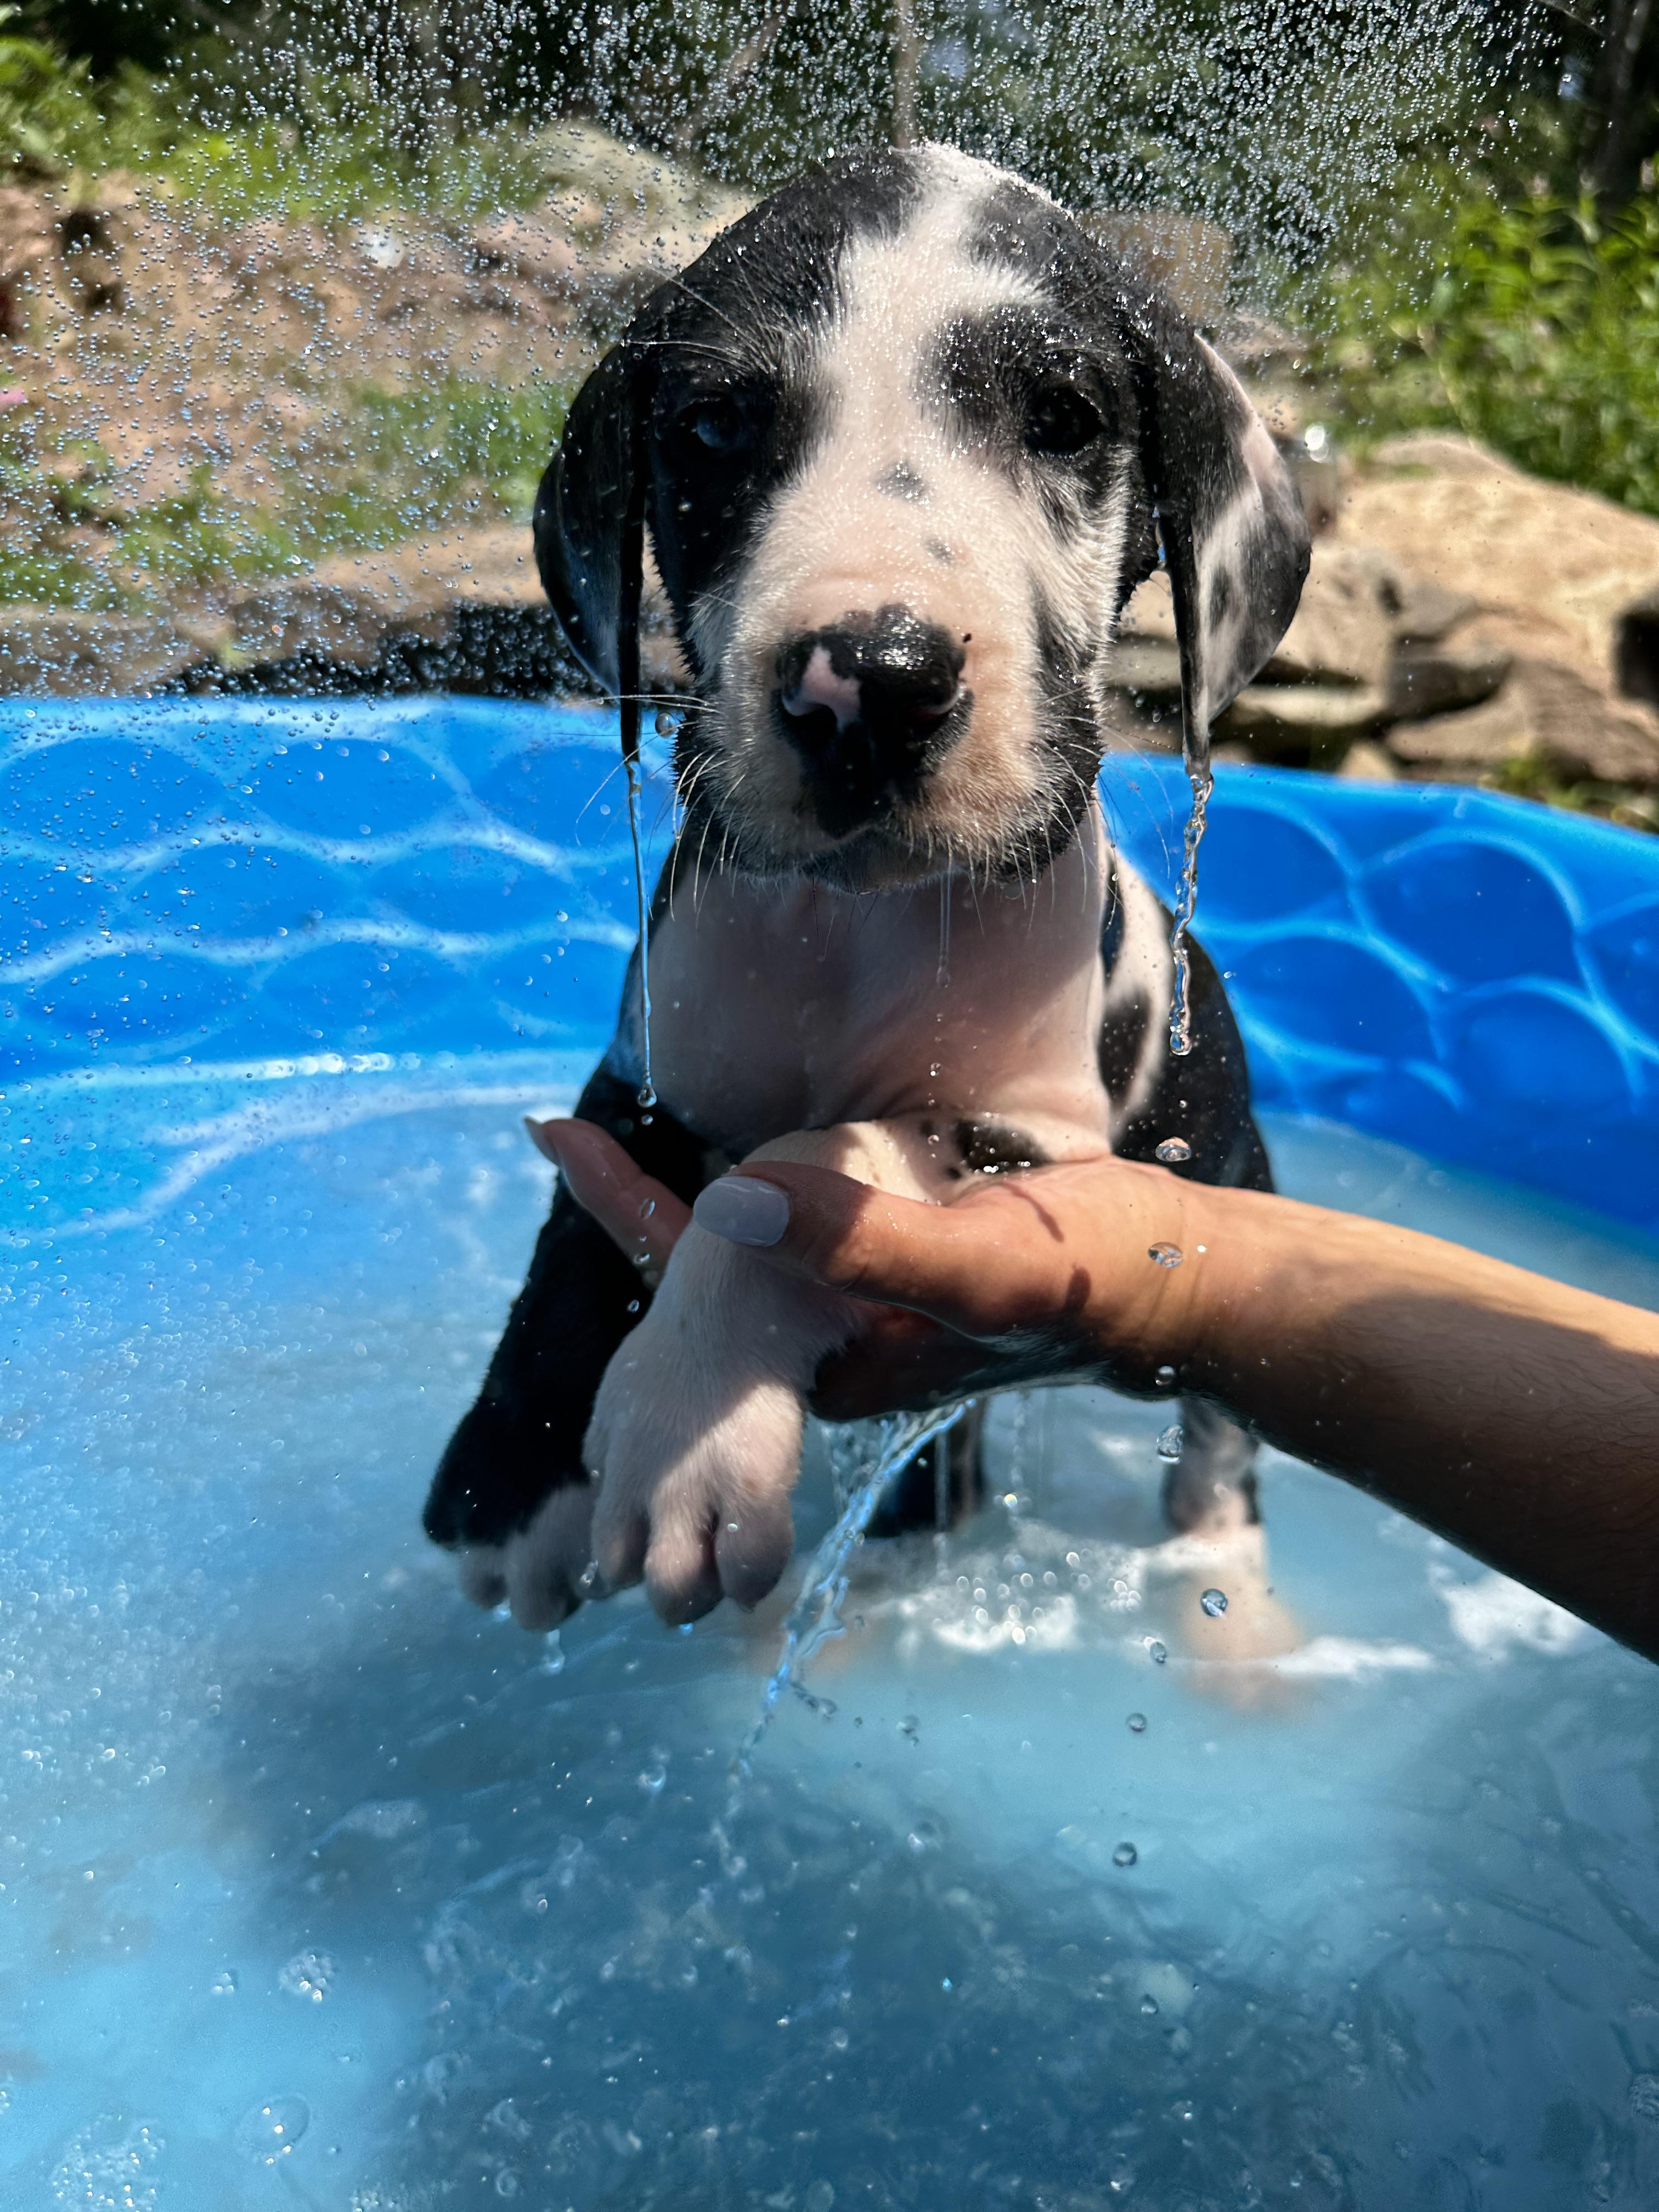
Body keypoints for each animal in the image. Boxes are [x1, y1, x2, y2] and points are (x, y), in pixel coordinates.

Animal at [422, 144, 1309, 1632]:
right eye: (715, 428)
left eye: (1063, 419)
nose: (872, 683)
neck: (850, 928)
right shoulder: (649, 1070)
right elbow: (580, 1230)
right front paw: (516, 1472)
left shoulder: (1028, 1141)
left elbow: (794, 1174)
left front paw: (689, 1419)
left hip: (1228, 1195)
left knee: (1219, 1453)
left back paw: (1229, 1604)